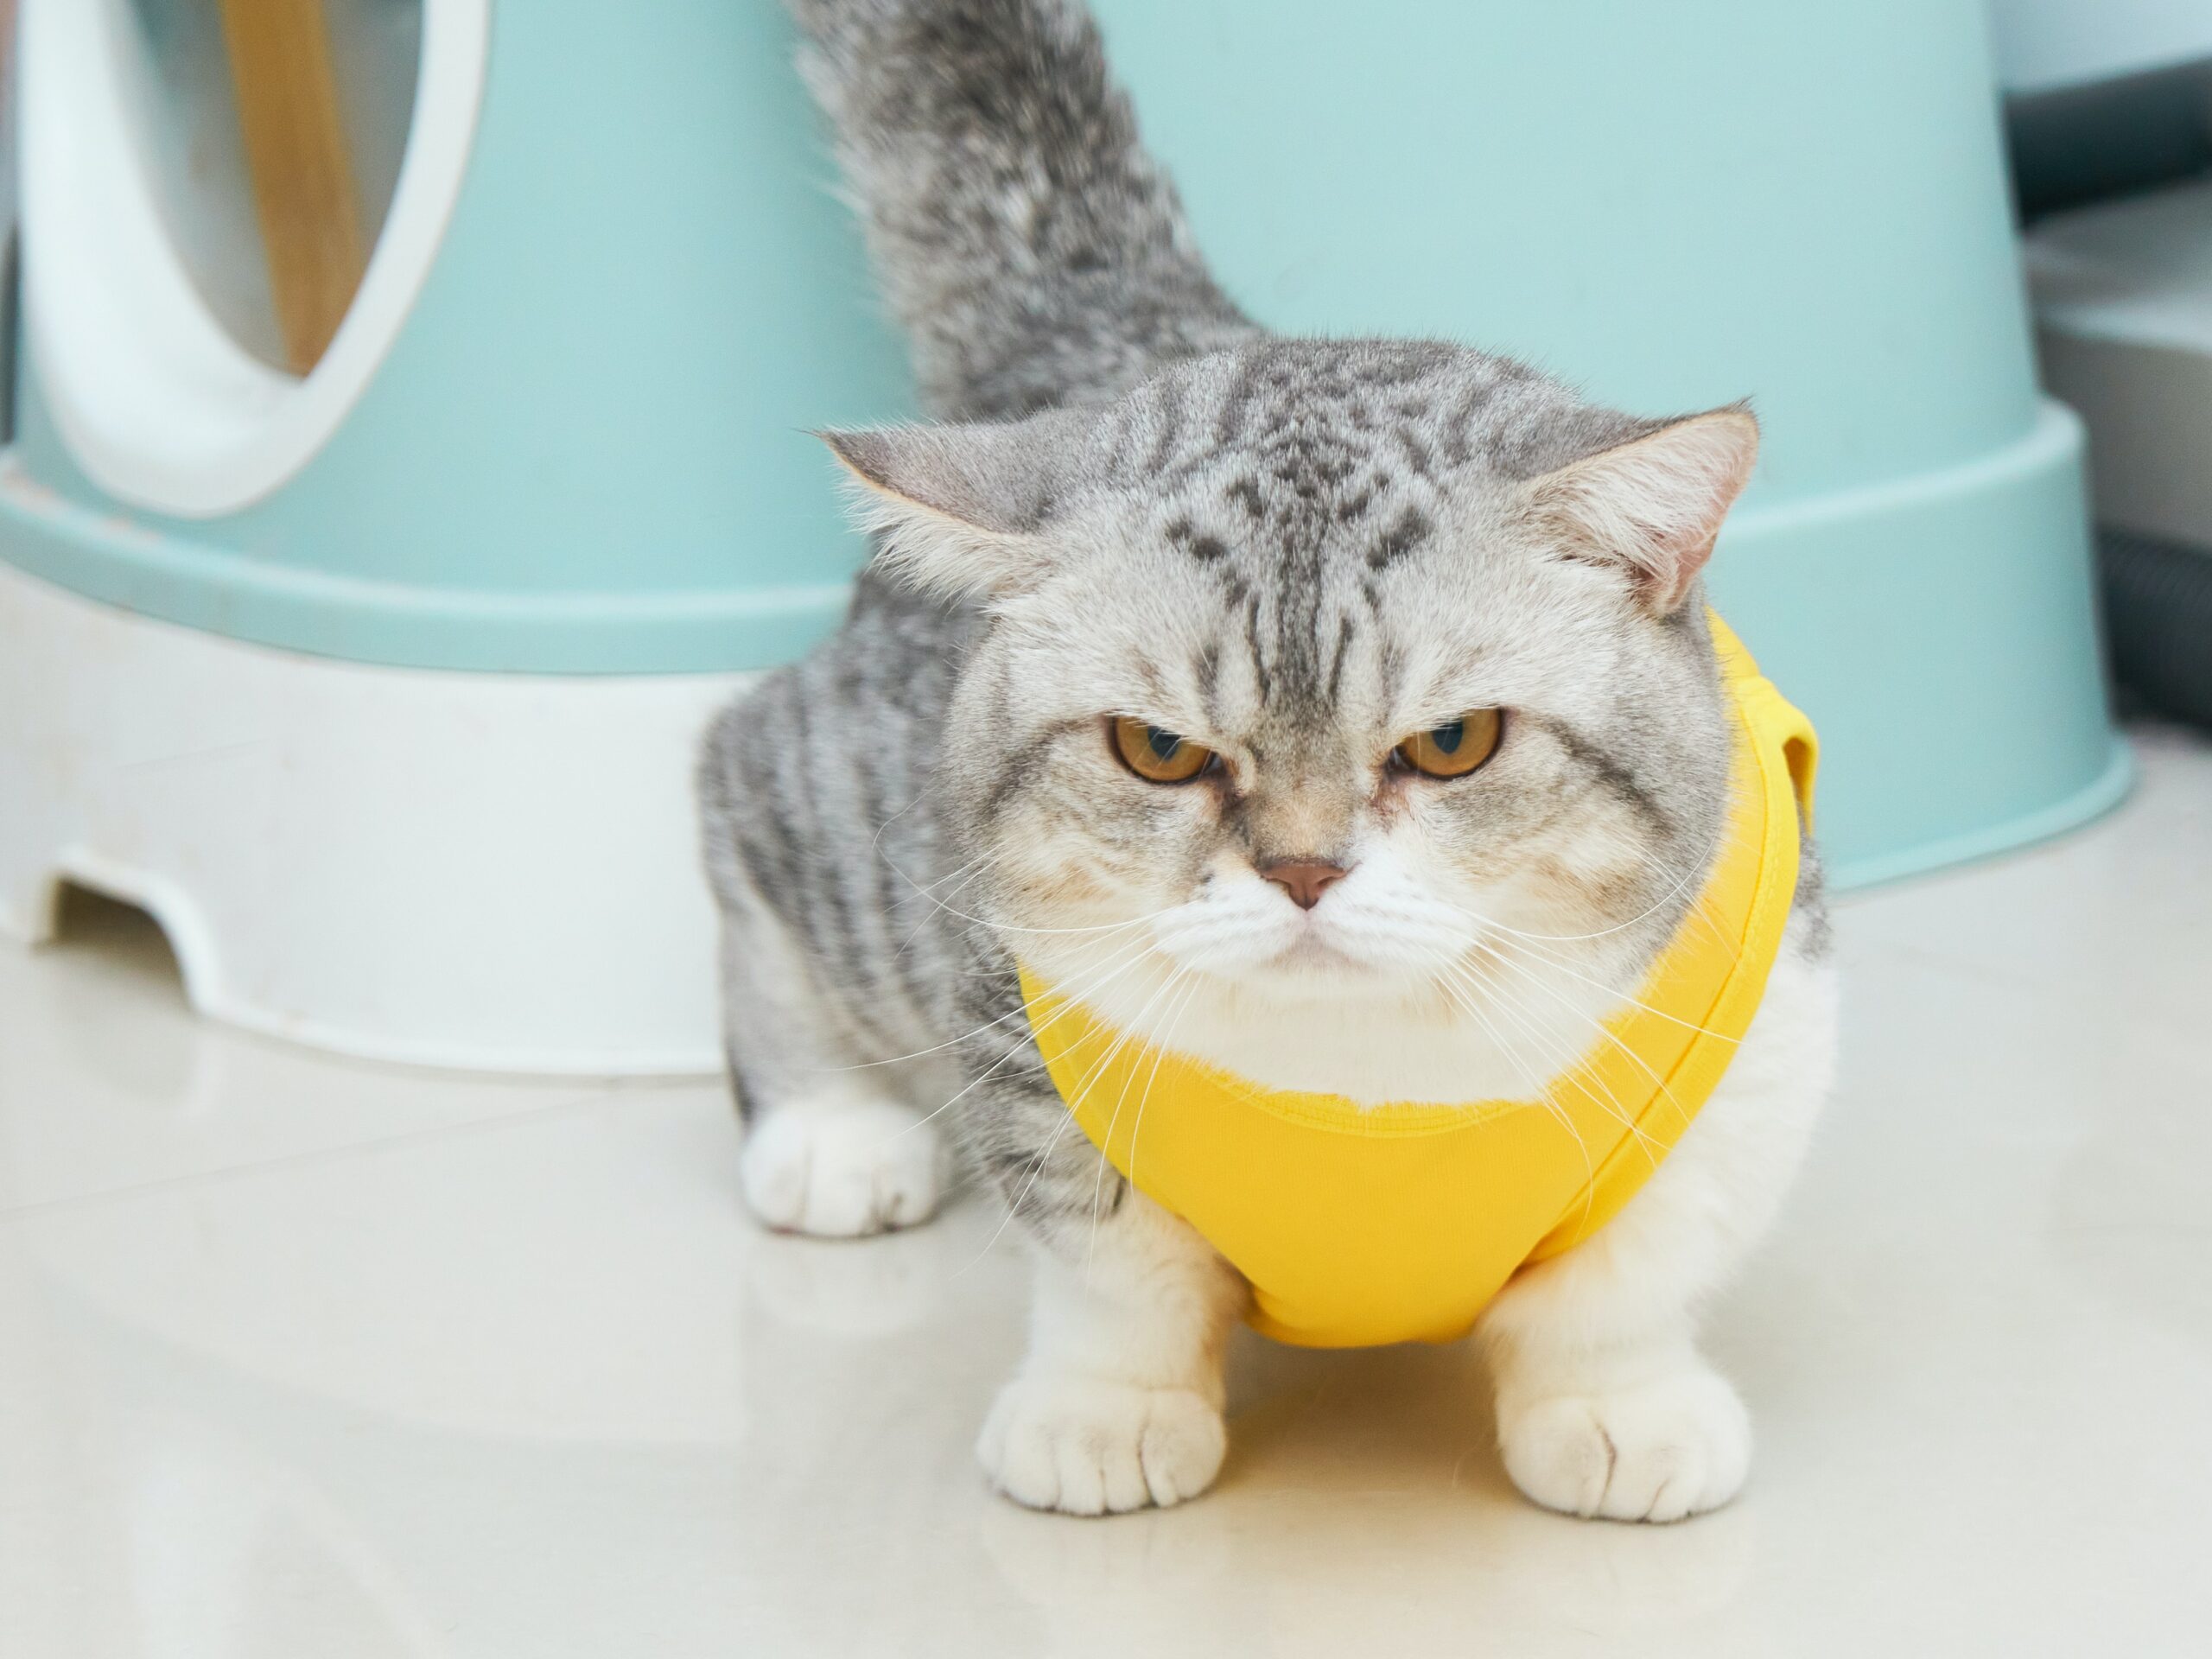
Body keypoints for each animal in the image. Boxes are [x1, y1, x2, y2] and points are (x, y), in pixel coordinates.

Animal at [698, 0, 1840, 1530]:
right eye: (1159, 750)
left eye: (1453, 744)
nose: (1301, 868)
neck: (1366, 1083)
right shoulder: (1020, 1041)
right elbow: (1110, 1272)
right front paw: (1105, 1413)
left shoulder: (1755, 1037)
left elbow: (1629, 1277)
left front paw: (1619, 1407)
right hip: (864, 839)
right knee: (734, 763)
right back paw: (828, 1125)